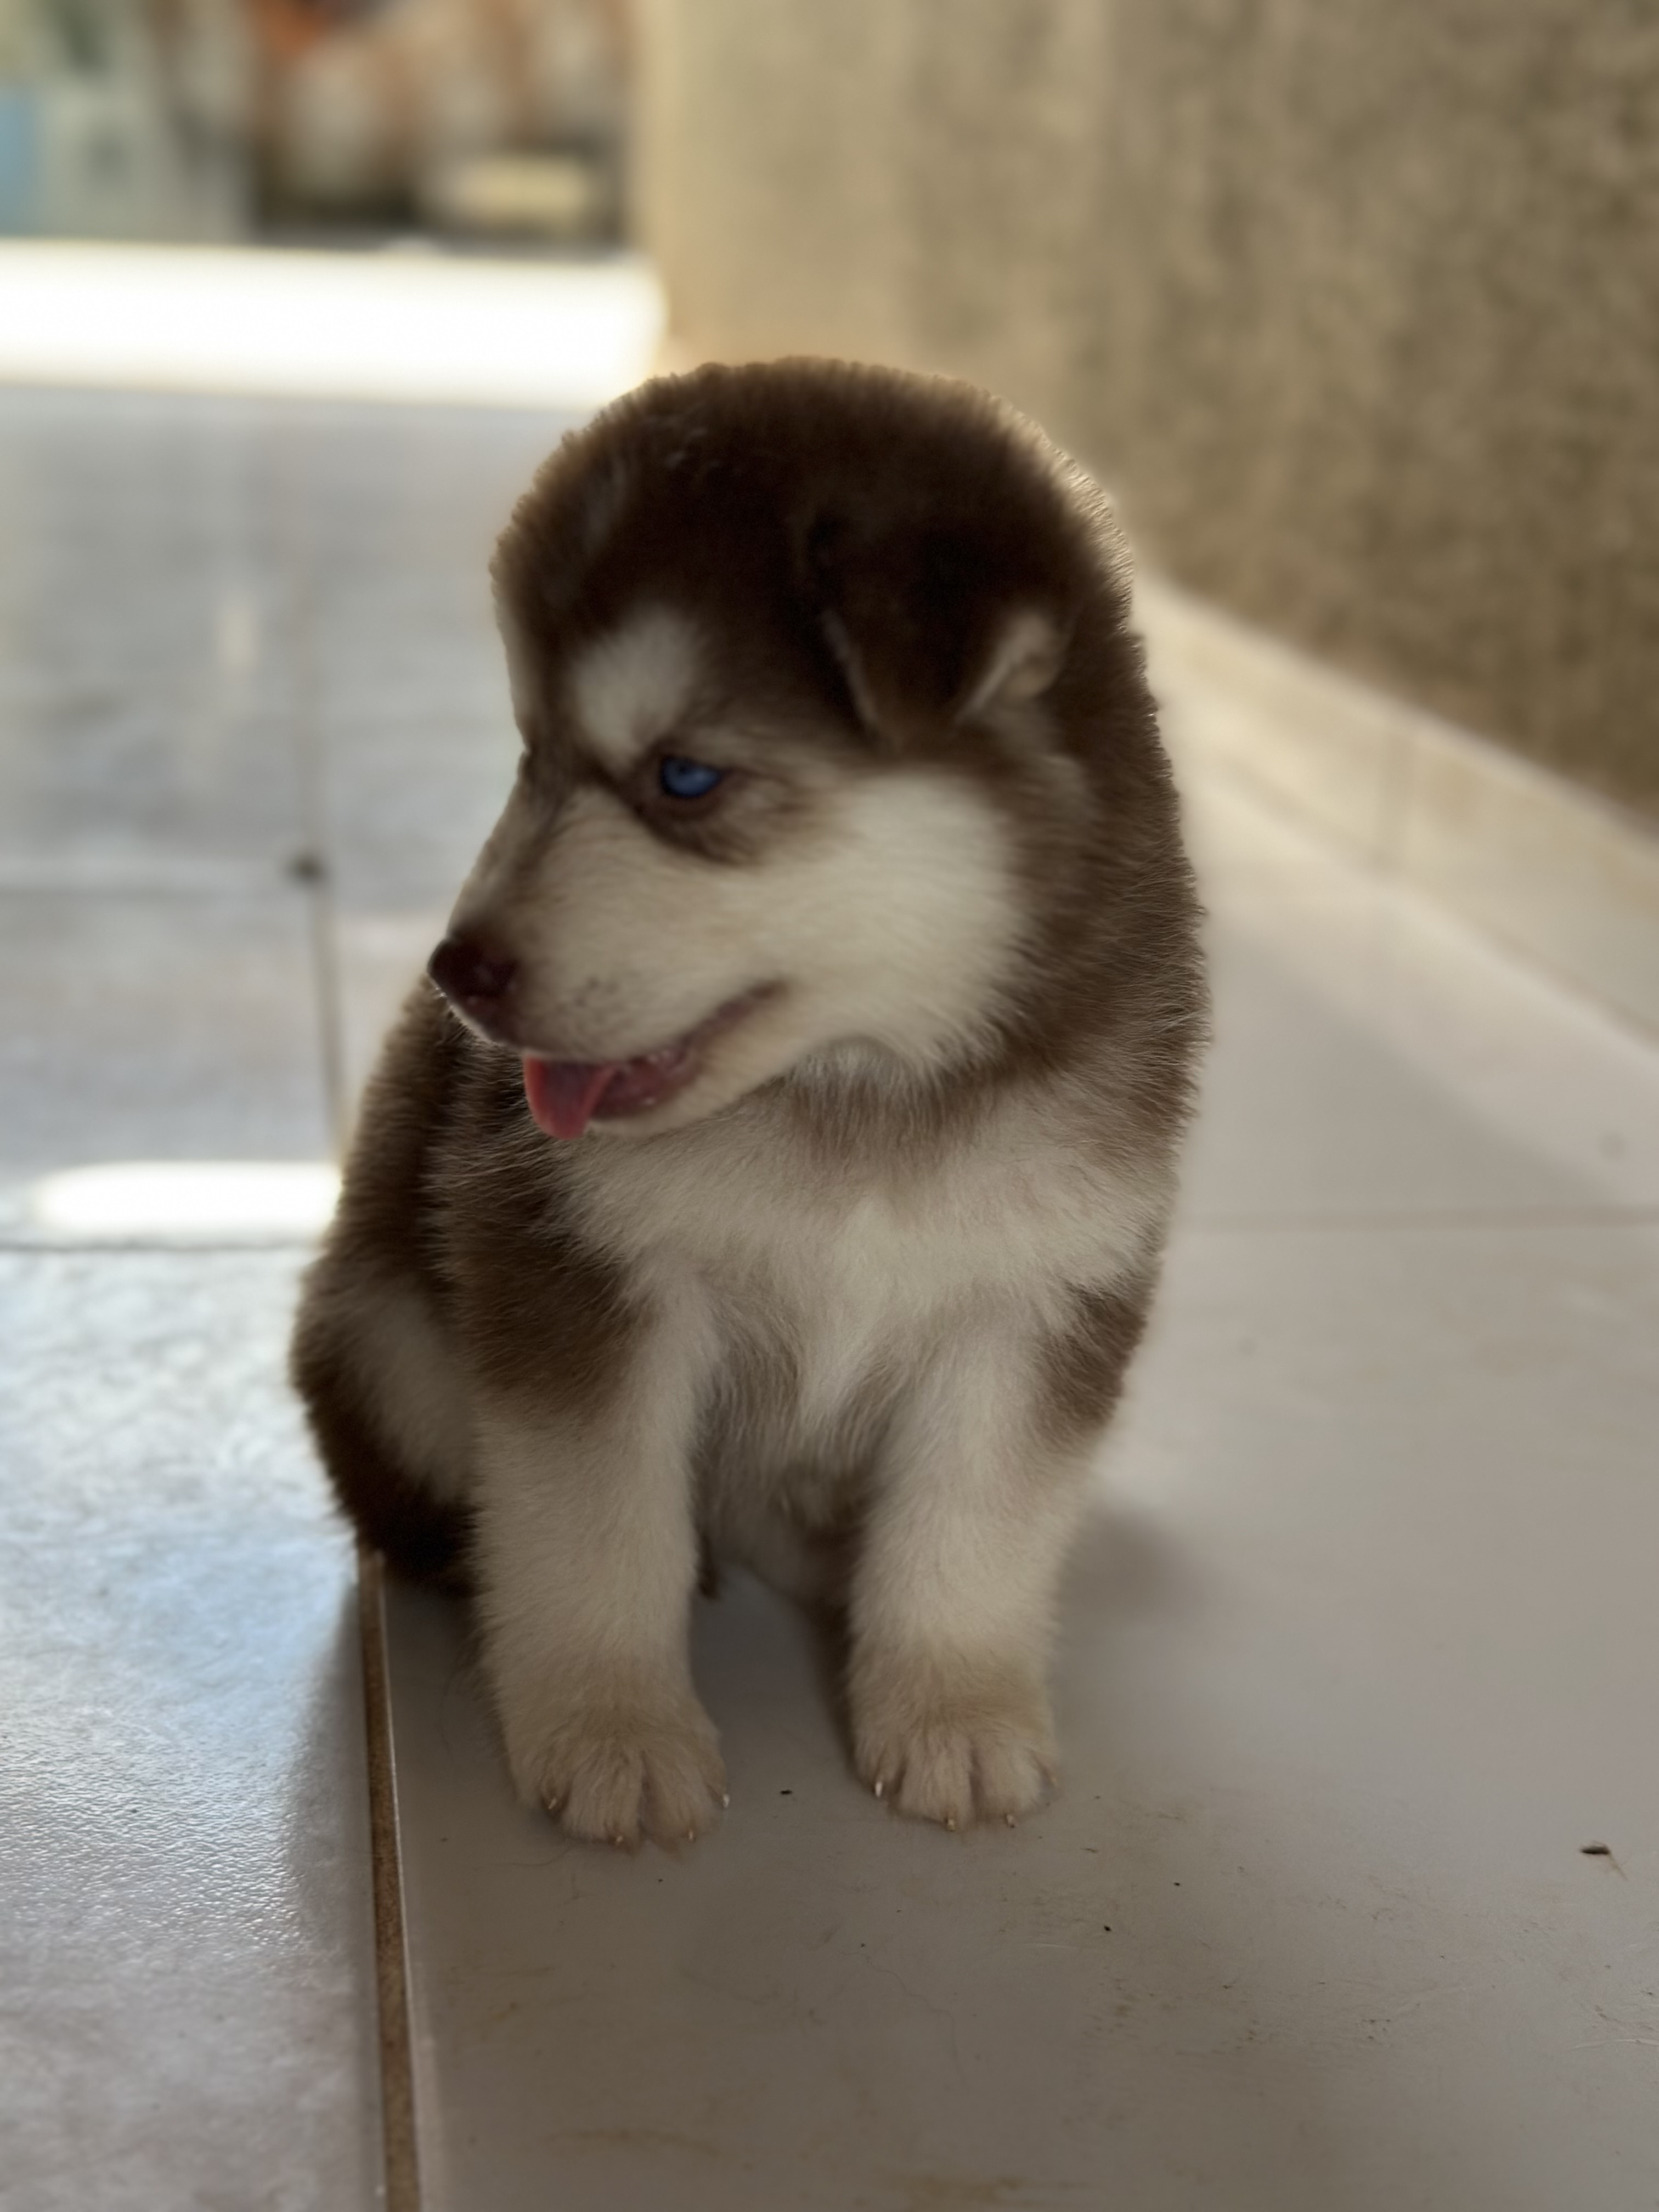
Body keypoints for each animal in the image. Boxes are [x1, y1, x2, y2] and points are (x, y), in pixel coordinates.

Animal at [292, 358, 1212, 1849]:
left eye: (684, 777)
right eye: (531, 755)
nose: (456, 972)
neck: (861, 1087)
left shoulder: (1043, 1293)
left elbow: (976, 1524)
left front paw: (952, 1707)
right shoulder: (578, 1272)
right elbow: (597, 1525)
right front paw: (613, 1728)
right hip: (383, 1342)